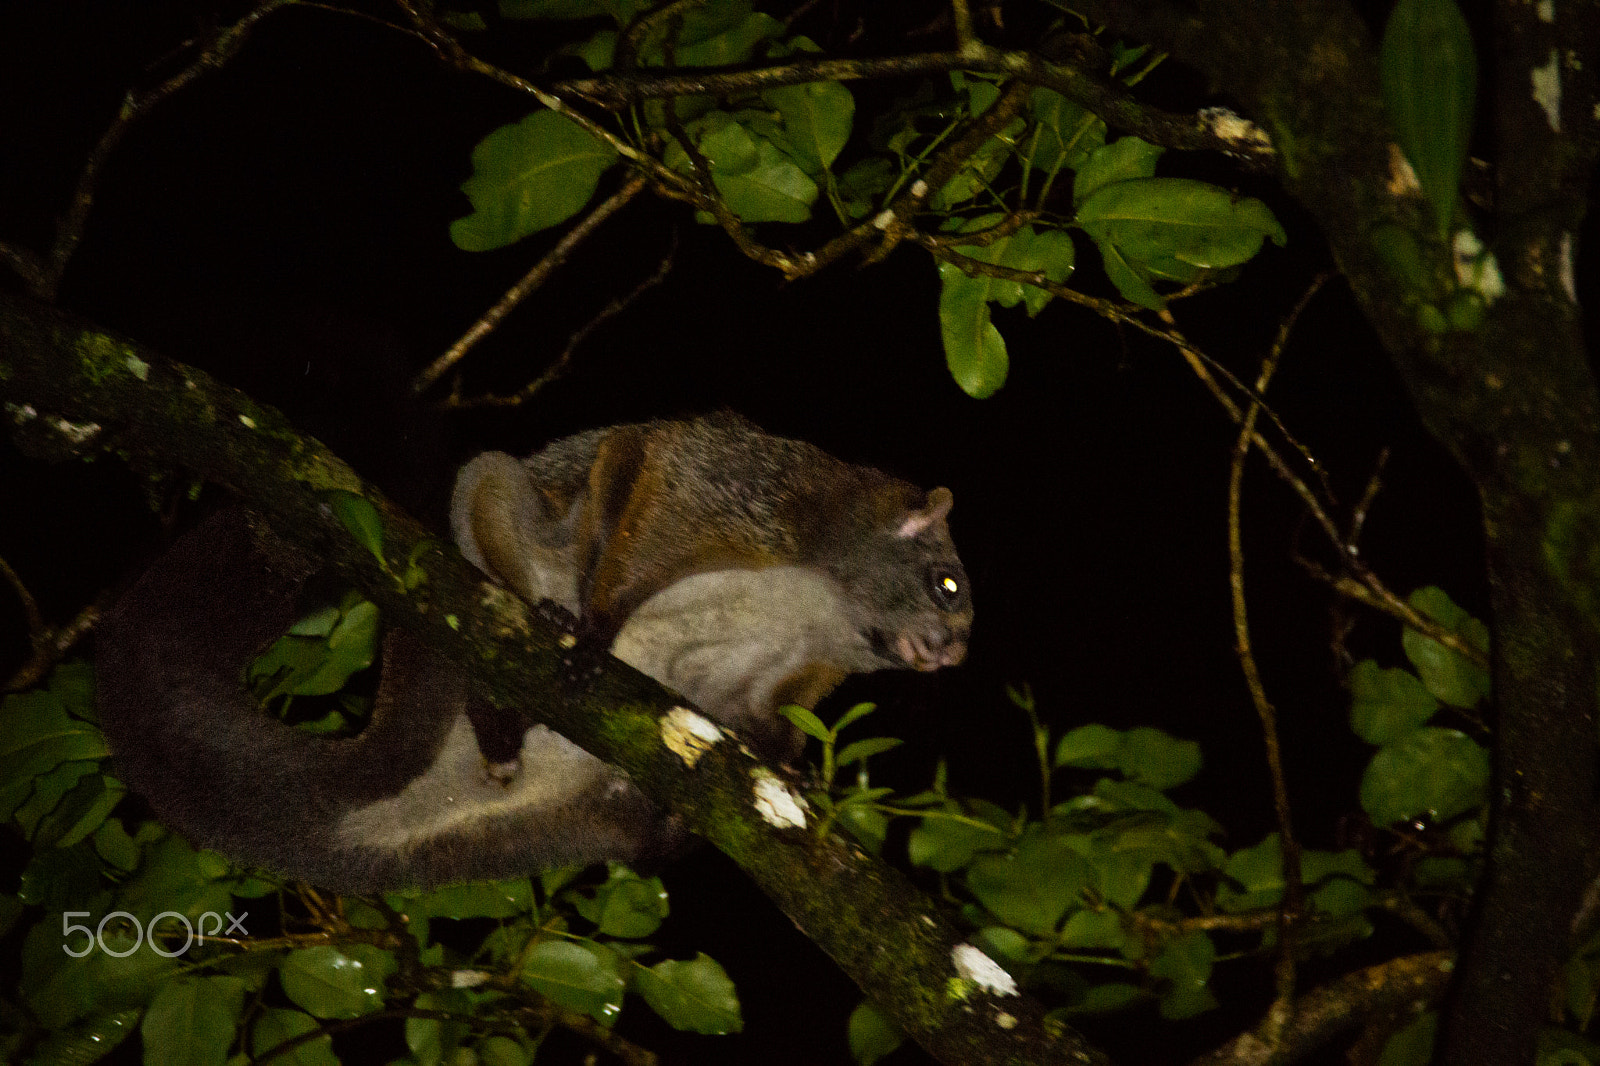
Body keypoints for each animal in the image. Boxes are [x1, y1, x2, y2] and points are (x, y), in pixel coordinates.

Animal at [100, 412, 972, 889]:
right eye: (948, 587)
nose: (957, 656)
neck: (823, 600)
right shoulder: (747, 490)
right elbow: (640, 481)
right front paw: (598, 622)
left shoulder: (801, 665)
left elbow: (761, 711)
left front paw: (790, 763)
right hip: (477, 557)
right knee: (503, 502)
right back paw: (512, 686)